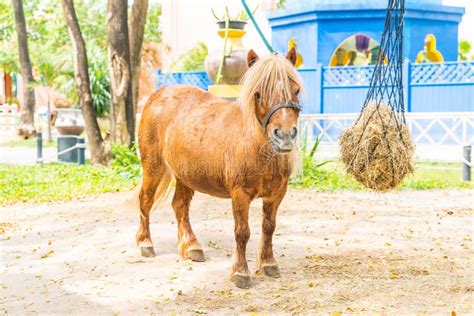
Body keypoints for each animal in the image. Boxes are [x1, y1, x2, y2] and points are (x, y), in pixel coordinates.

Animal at [135, 48, 302, 288]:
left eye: (296, 90)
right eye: (258, 93)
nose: (285, 135)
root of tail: (158, 95)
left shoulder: (276, 195)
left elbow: (269, 228)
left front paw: (268, 263)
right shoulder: (240, 194)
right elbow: (242, 232)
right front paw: (241, 272)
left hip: (185, 175)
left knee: (179, 206)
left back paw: (191, 247)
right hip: (153, 168)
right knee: (146, 201)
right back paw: (145, 243)